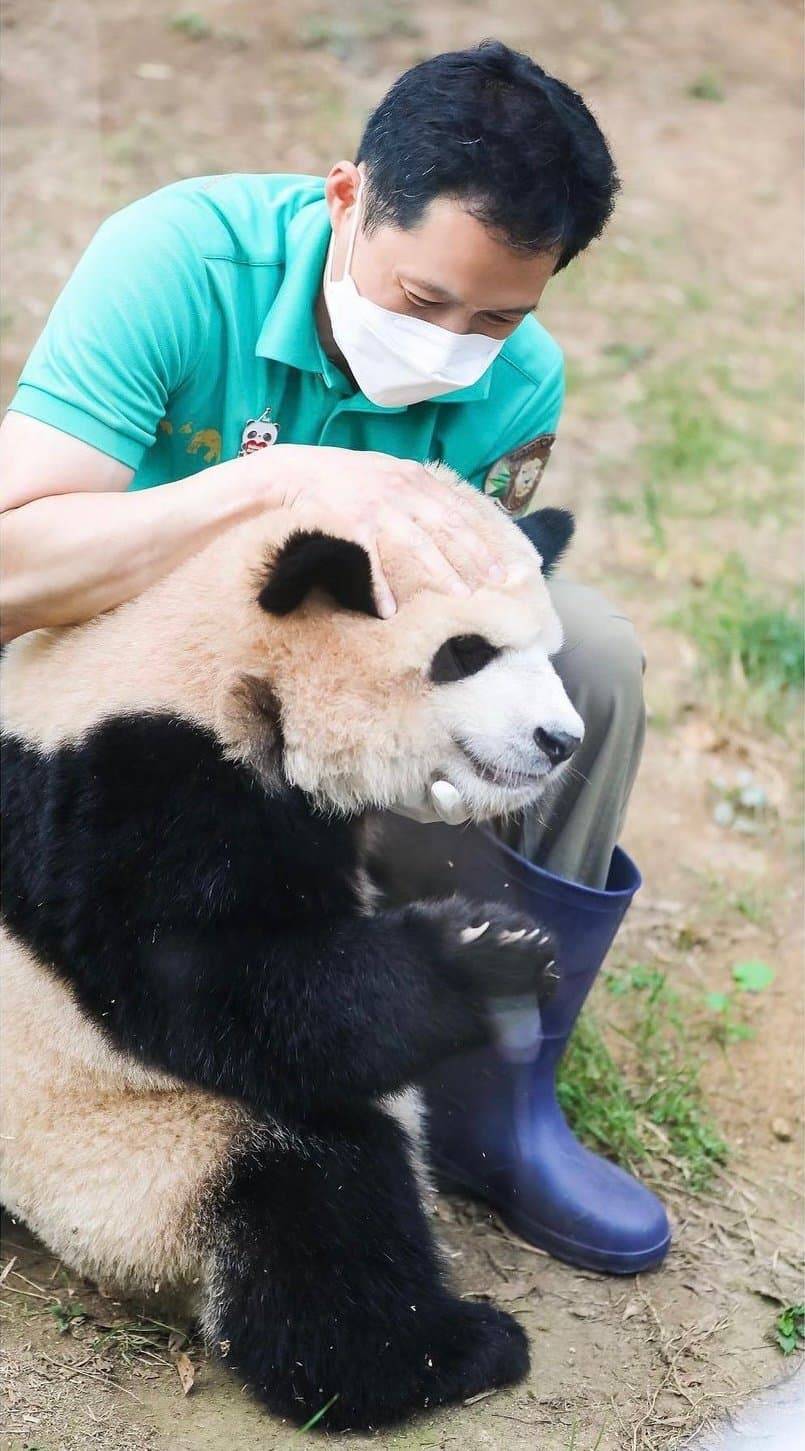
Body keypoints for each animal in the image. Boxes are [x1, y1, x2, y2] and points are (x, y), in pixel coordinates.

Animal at [0, 467, 580, 1427]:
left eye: (548, 650)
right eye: (464, 653)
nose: (558, 741)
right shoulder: (133, 780)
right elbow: (208, 980)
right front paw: (489, 953)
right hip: (140, 1154)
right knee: (315, 1197)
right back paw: (438, 1354)